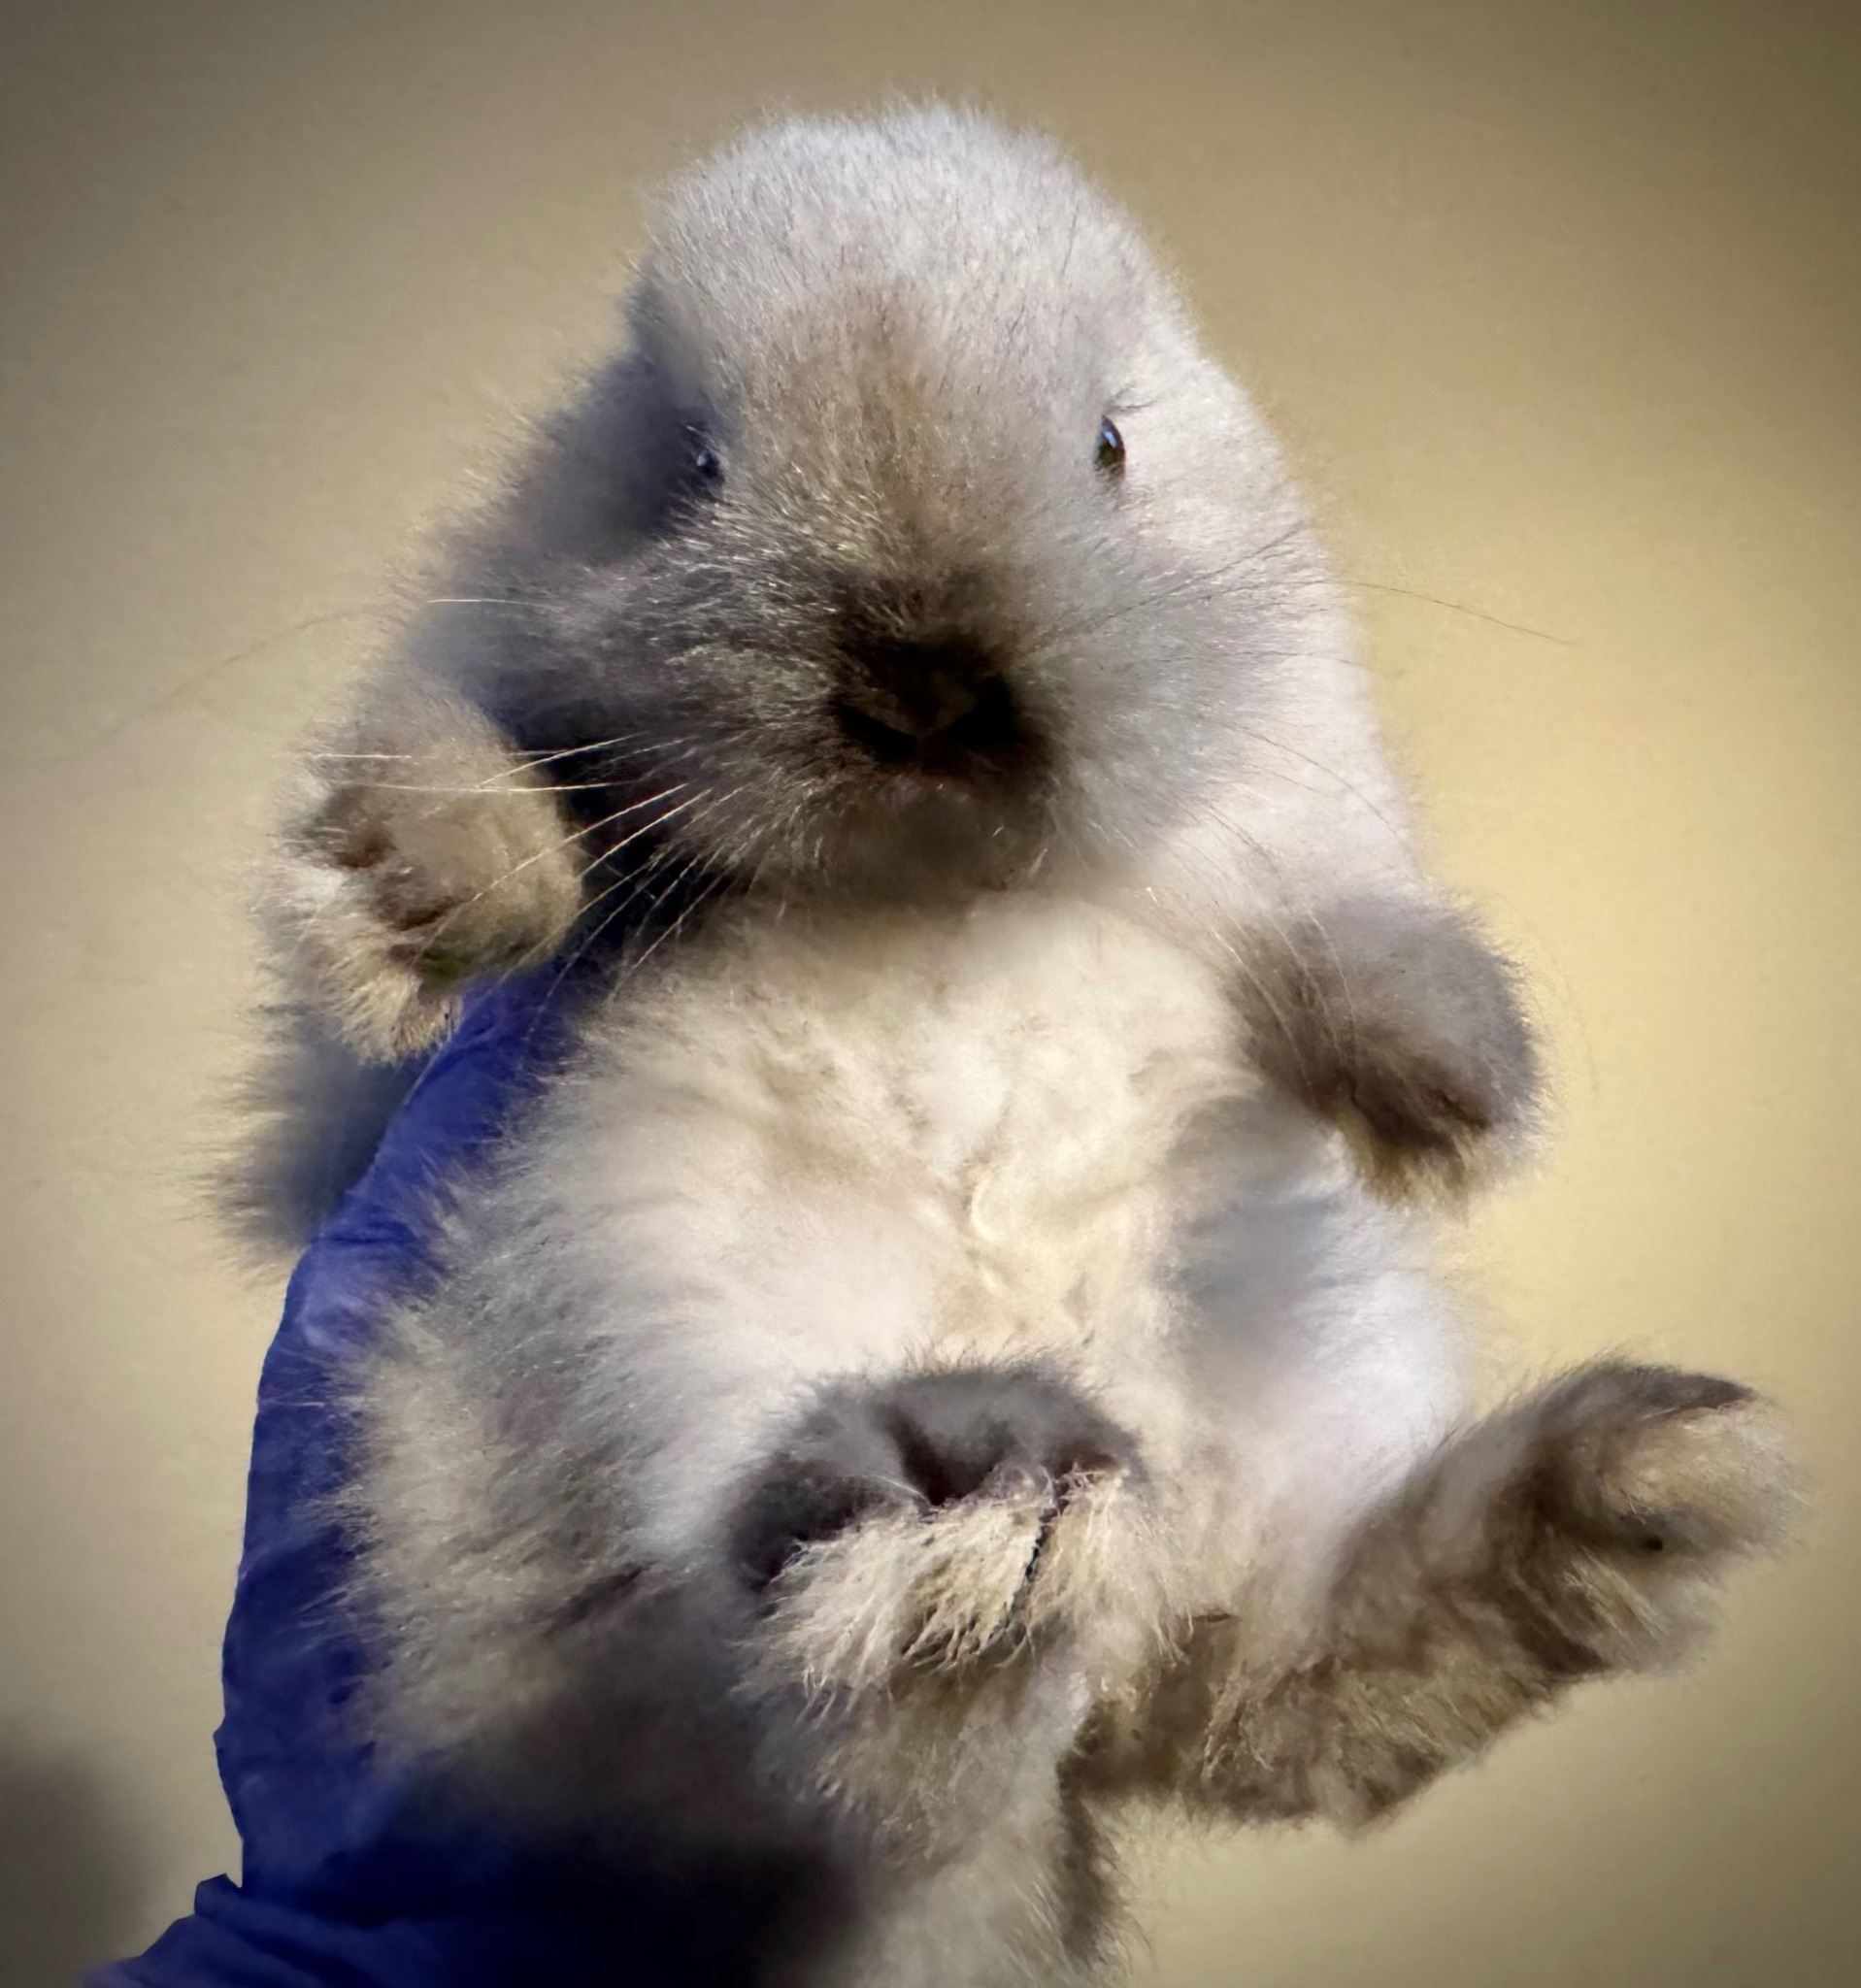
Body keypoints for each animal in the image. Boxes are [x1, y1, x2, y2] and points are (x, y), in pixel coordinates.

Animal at [253, 107, 1799, 1988]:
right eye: (690, 466)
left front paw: (1452, 1101)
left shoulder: (1300, 835)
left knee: (1275, 1679)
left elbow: (1346, 940)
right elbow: (473, 770)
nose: (918, 682)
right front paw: (432, 902)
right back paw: (958, 1539)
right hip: (564, 1456)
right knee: (802, 1741)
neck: (938, 896)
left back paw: (1643, 1476)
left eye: (1112, 447)